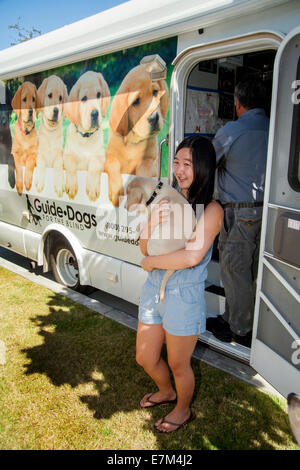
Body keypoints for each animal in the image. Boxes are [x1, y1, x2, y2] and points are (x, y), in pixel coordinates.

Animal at [63, 70, 110, 201]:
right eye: (83, 98)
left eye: (99, 94)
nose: (95, 113)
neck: (85, 137)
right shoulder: (66, 155)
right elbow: (71, 166)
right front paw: (71, 186)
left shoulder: (100, 157)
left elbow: (94, 165)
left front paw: (92, 189)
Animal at [105, 54, 169, 206]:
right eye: (135, 102)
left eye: (155, 92)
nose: (154, 118)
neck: (134, 141)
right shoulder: (108, 156)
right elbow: (112, 162)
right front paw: (115, 190)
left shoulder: (153, 159)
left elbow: (144, 166)